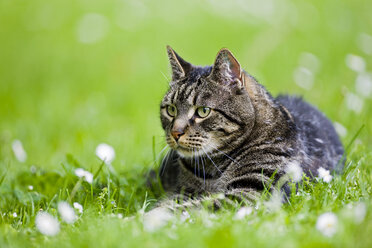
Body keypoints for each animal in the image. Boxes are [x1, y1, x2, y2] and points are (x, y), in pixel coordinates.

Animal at [158, 46, 344, 209]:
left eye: (203, 111)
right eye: (171, 110)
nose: (175, 132)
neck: (212, 169)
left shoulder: (251, 192)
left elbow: (184, 210)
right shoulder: (183, 192)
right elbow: (170, 204)